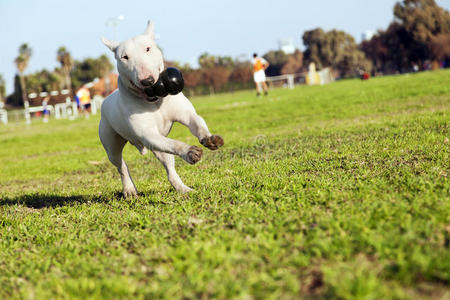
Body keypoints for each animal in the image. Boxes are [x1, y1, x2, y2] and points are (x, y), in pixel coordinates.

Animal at [99, 19, 224, 196]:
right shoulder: (148, 134)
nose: (147, 81)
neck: (156, 102)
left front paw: (209, 138)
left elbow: (197, 122)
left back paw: (184, 189)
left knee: (170, 168)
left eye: (148, 48)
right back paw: (129, 190)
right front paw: (189, 151)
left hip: (159, 148)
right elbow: (175, 143)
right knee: (121, 166)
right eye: (124, 57)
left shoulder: (186, 114)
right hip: (112, 145)